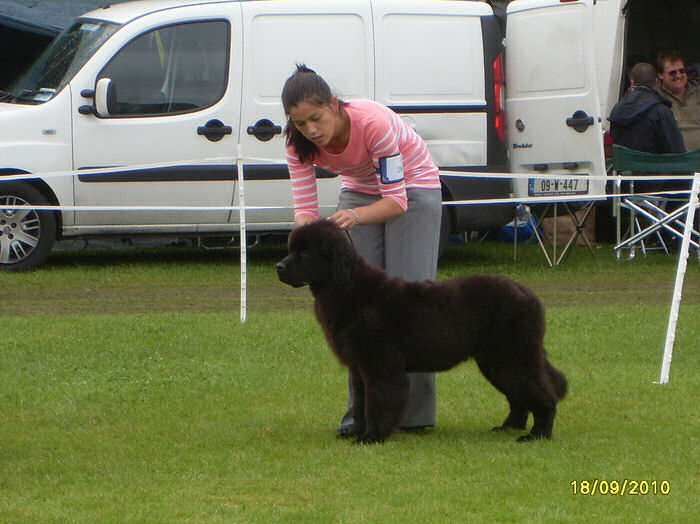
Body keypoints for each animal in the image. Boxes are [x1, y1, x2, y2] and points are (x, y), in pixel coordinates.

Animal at [276, 219, 568, 444]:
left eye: (305, 253)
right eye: (292, 250)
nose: (279, 267)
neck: (348, 288)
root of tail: (528, 294)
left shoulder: (380, 365)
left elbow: (377, 402)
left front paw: (371, 437)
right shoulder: (359, 367)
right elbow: (359, 404)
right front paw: (355, 432)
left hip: (513, 356)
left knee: (541, 394)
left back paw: (536, 435)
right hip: (496, 361)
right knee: (518, 396)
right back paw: (509, 426)